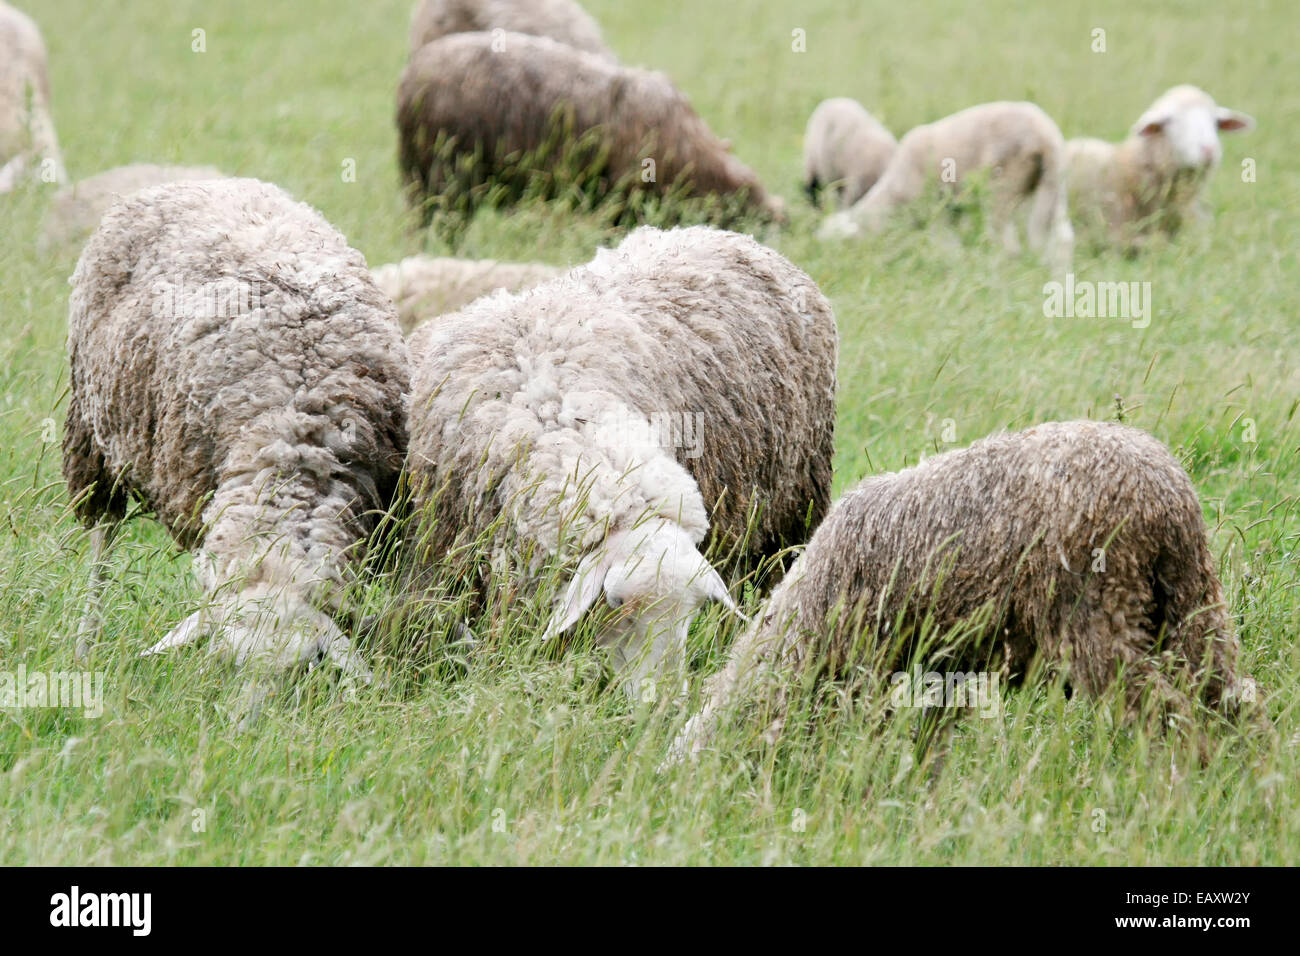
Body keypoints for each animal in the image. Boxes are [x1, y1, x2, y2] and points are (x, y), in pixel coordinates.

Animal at [63, 178, 410, 685]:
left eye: (306, 671)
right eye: (222, 663)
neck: (296, 440)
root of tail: (200, 179)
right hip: (95, 434)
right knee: (102, 538)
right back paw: (86, 641)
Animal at [667, 420, 1249, 763]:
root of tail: (1164, 491)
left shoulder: (875, 660)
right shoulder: (942, 664)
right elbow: (931, 736)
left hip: (1101, 612)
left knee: (1169, 711)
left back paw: (1185, 777)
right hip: (1190, 595)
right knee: (1231, 696)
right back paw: (1245, 772)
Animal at [820, 101, 1074, 269]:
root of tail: (1045, 136)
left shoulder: (934, 205)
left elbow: (943, 240)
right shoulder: (951, 209)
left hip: (1002, 183)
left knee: (1007, 239)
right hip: (1053, 183)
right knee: (1062, 236)